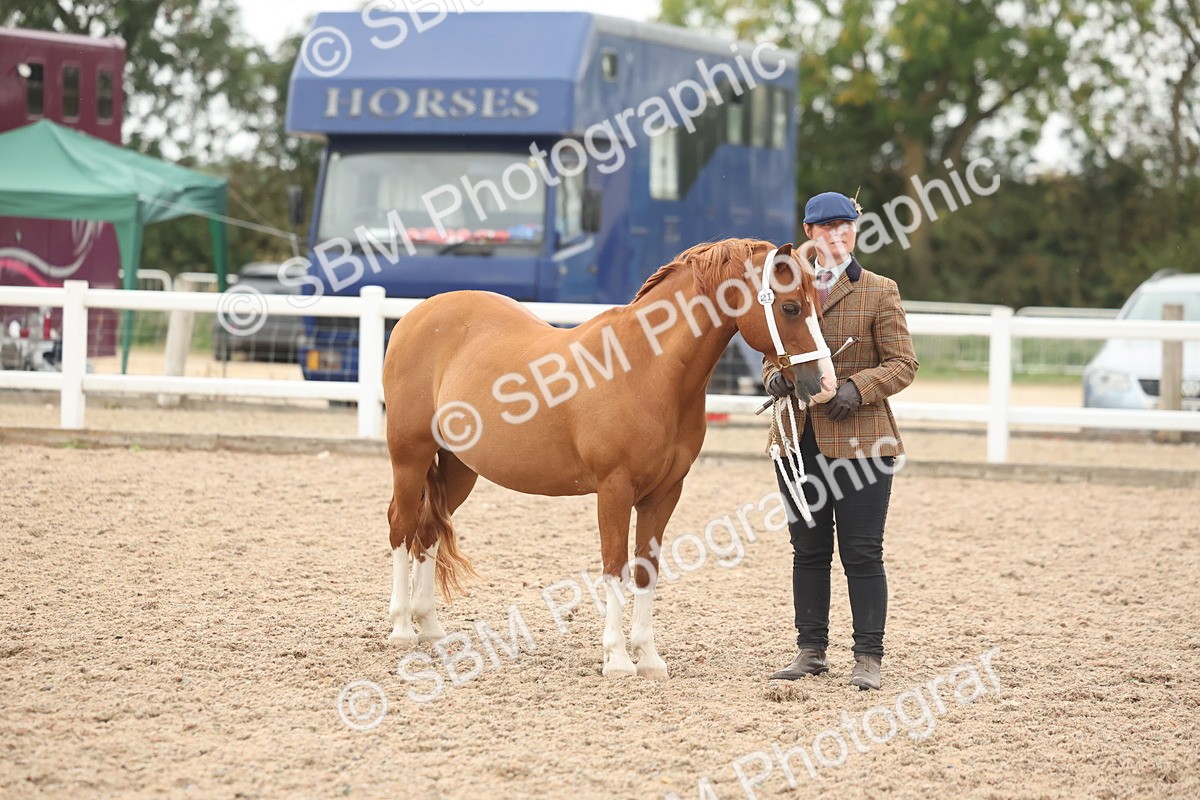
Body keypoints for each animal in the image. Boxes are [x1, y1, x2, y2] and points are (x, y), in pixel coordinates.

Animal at [381, 238, 836, 678]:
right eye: (791, 307)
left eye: (818, 307)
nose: (824, 384)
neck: (647, 368)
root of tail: (415, 315)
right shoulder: (614, 489)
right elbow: (615, 566)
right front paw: (616, 659)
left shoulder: (664, 493)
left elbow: (646, 569)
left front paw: (648, 658)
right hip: (410, 456)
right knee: (402, 526)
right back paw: (402, 629)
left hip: (458, 469)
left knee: (428, 532)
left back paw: (432, 630)